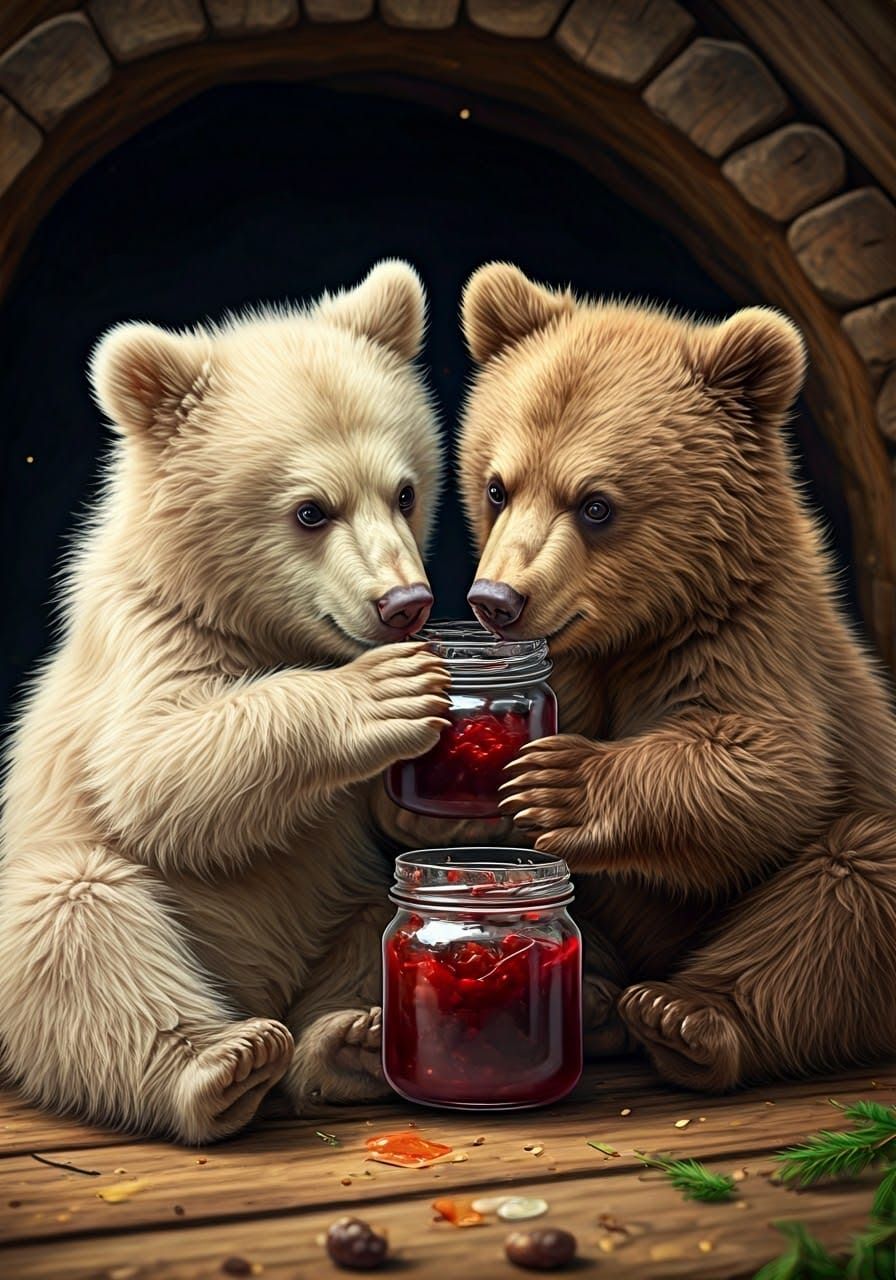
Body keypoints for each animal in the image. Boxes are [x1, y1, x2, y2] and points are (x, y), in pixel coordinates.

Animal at [0, 261, 452, 1141]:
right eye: (311, 510)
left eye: (405, 491)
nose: (404, 603)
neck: (238, 613)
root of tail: (258, 986)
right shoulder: (148, 640)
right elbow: (155, 767)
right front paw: (385, 693)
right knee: (76, 923)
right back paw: (220, 1064)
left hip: (337, 903)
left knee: (371, 932)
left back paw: (348, 1046)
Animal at [458, 261, 896, 1092]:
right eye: (497, 485)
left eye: (595, 504)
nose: (497, 600)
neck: (632, 628)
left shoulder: (746, 636)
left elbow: (767, 762)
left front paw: (556, 781)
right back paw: (596, 1002)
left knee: (852, 875)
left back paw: (687, 1017)